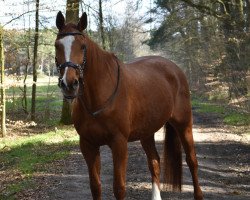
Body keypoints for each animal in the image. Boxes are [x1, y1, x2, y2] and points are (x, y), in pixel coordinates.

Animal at [54, 10, 203, 200]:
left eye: (82, 46)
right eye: (57, 45)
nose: (69, 84)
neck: (98, 98)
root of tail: (175, 69)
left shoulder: (119, 143)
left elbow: (119, 187)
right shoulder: (88, 145)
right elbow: (95, 186)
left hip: (184, 125)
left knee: (192, 161)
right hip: (147, 132)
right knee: (154, 161)